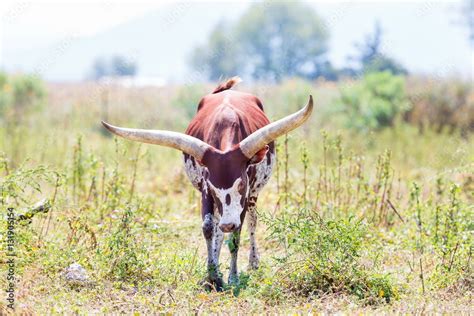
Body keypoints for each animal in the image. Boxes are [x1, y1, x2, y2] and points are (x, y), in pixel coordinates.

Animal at [102, 77, 312, 292]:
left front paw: (233, 278)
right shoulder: (205, 189)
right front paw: (212, 276)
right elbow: (209, 227)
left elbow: (236, 235)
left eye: (241, 185)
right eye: (212, 187)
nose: (228, 223)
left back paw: (253, 262)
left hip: (254, 195)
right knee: (219, 228)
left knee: (252, 220)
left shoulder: (244, 197)